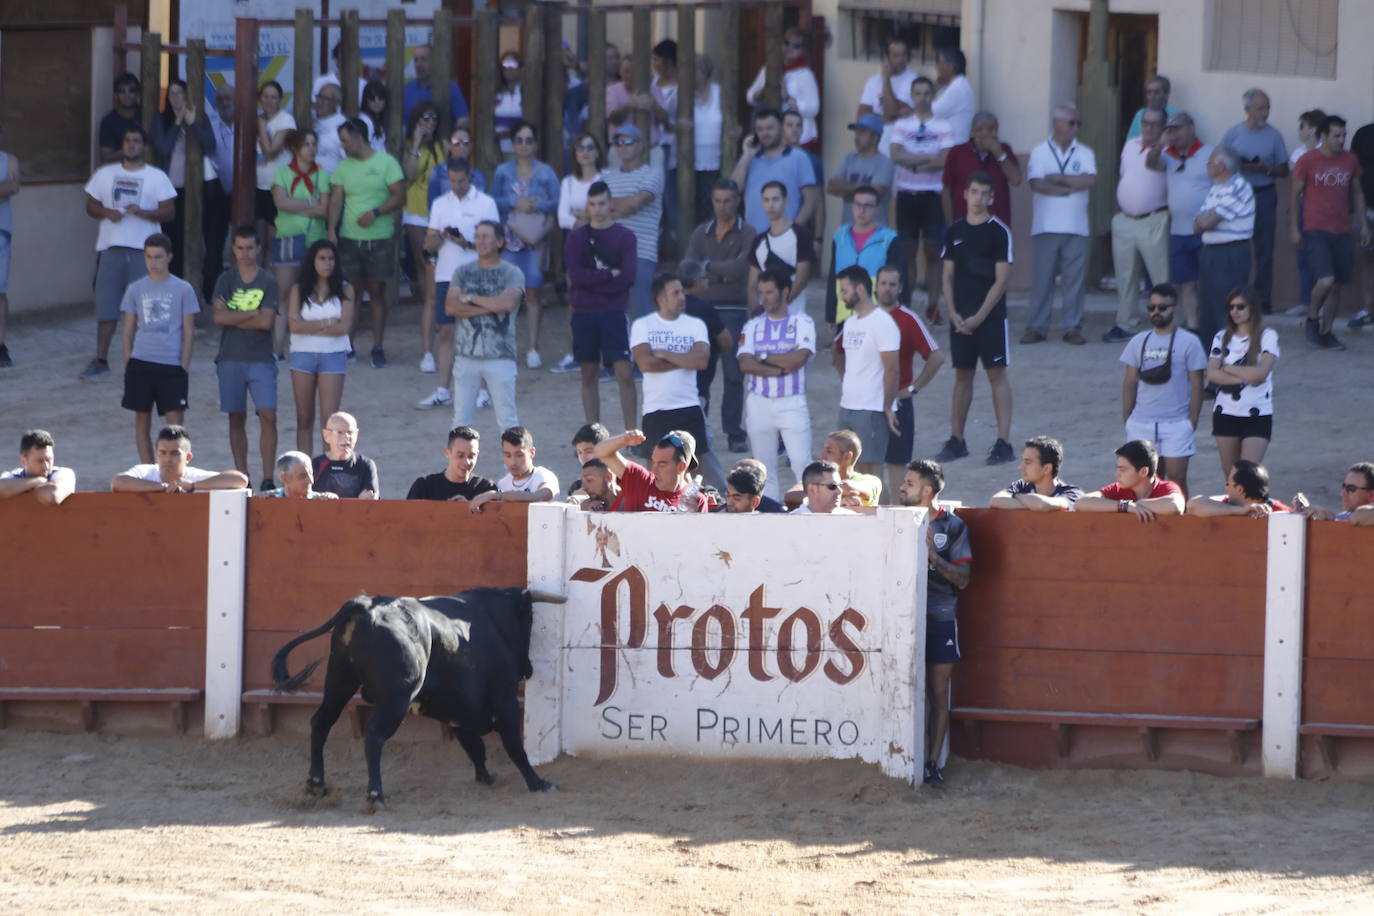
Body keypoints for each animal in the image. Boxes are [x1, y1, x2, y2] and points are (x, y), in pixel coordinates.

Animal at [273, 587, 563, 807]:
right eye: (529, 621)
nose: (528, 669)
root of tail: (367, 605)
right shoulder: (505, 701)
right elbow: (514, 745)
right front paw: (538, 783)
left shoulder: (459, 710)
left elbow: (475, 747)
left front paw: (486, 777)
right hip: (396, 698)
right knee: (374, 734)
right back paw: (375, 796)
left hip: (339, 682)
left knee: (321, 722)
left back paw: (316, 785)